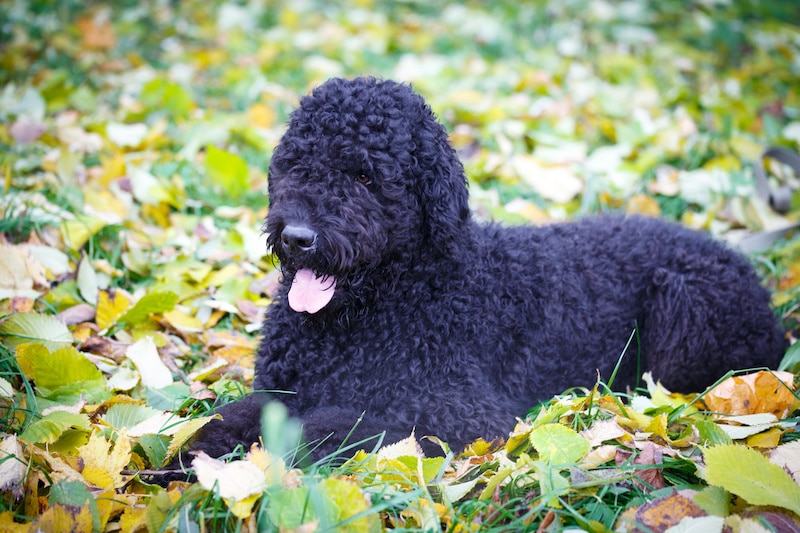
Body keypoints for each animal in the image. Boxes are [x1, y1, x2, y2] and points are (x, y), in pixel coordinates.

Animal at [188, 77, 788, 460]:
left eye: (364, 176)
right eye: (296, 165)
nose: (298, 237)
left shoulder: (464, 415)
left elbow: (334, 425)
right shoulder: (283, 389)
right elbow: (227, 418)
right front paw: (189, 456)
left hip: (685, 305)